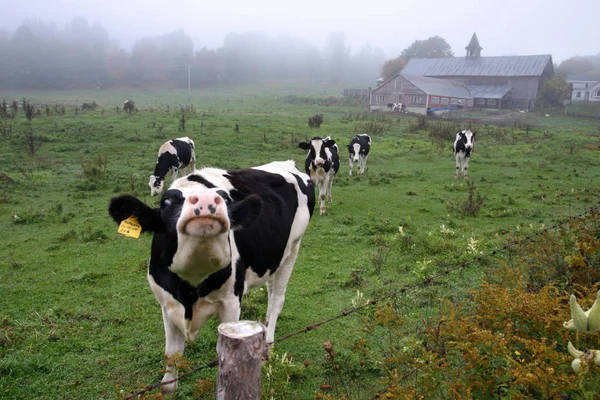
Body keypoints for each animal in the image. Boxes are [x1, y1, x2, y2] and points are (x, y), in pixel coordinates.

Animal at [109, 161, 314, 396]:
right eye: (166, 202)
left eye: (226, 200)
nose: (206, 200)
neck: (191, 284)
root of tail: (286, 164)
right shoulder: (167, 305)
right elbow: (170, 368)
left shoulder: (231, 303)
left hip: (293, 248)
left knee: (276, 301)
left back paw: (266, 349)